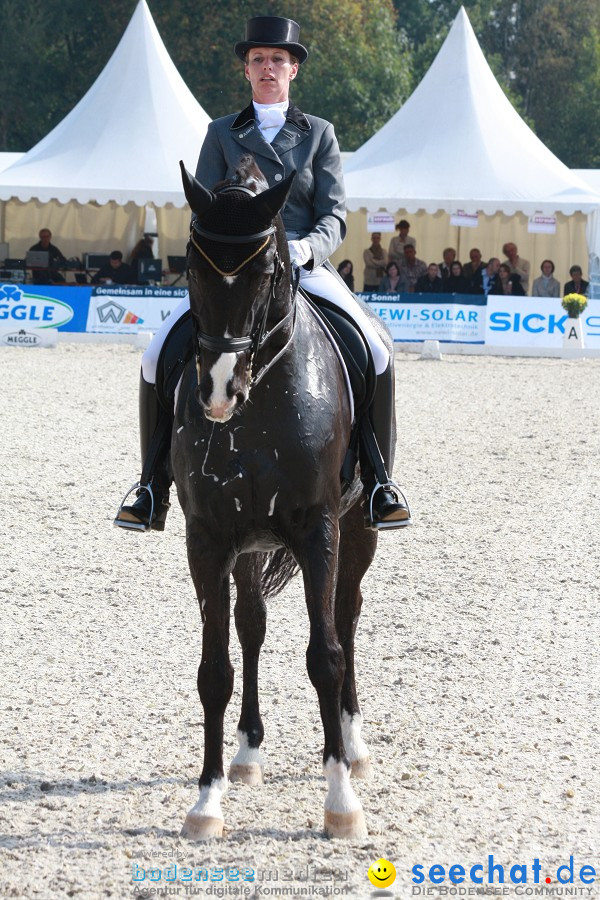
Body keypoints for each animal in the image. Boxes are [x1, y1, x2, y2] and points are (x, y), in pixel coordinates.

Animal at [170, 156, 394, 844]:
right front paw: (207, 800)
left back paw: (354, 744)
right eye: (191, 266)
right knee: (252, 626)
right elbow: (214, 668)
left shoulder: (320, 528)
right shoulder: (208, 539)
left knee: (346, 618)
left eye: (267, 269)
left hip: (359, 529)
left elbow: (325, 655)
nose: (219, 390)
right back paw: (246, 753)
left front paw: (342, 802)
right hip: (248, 546)